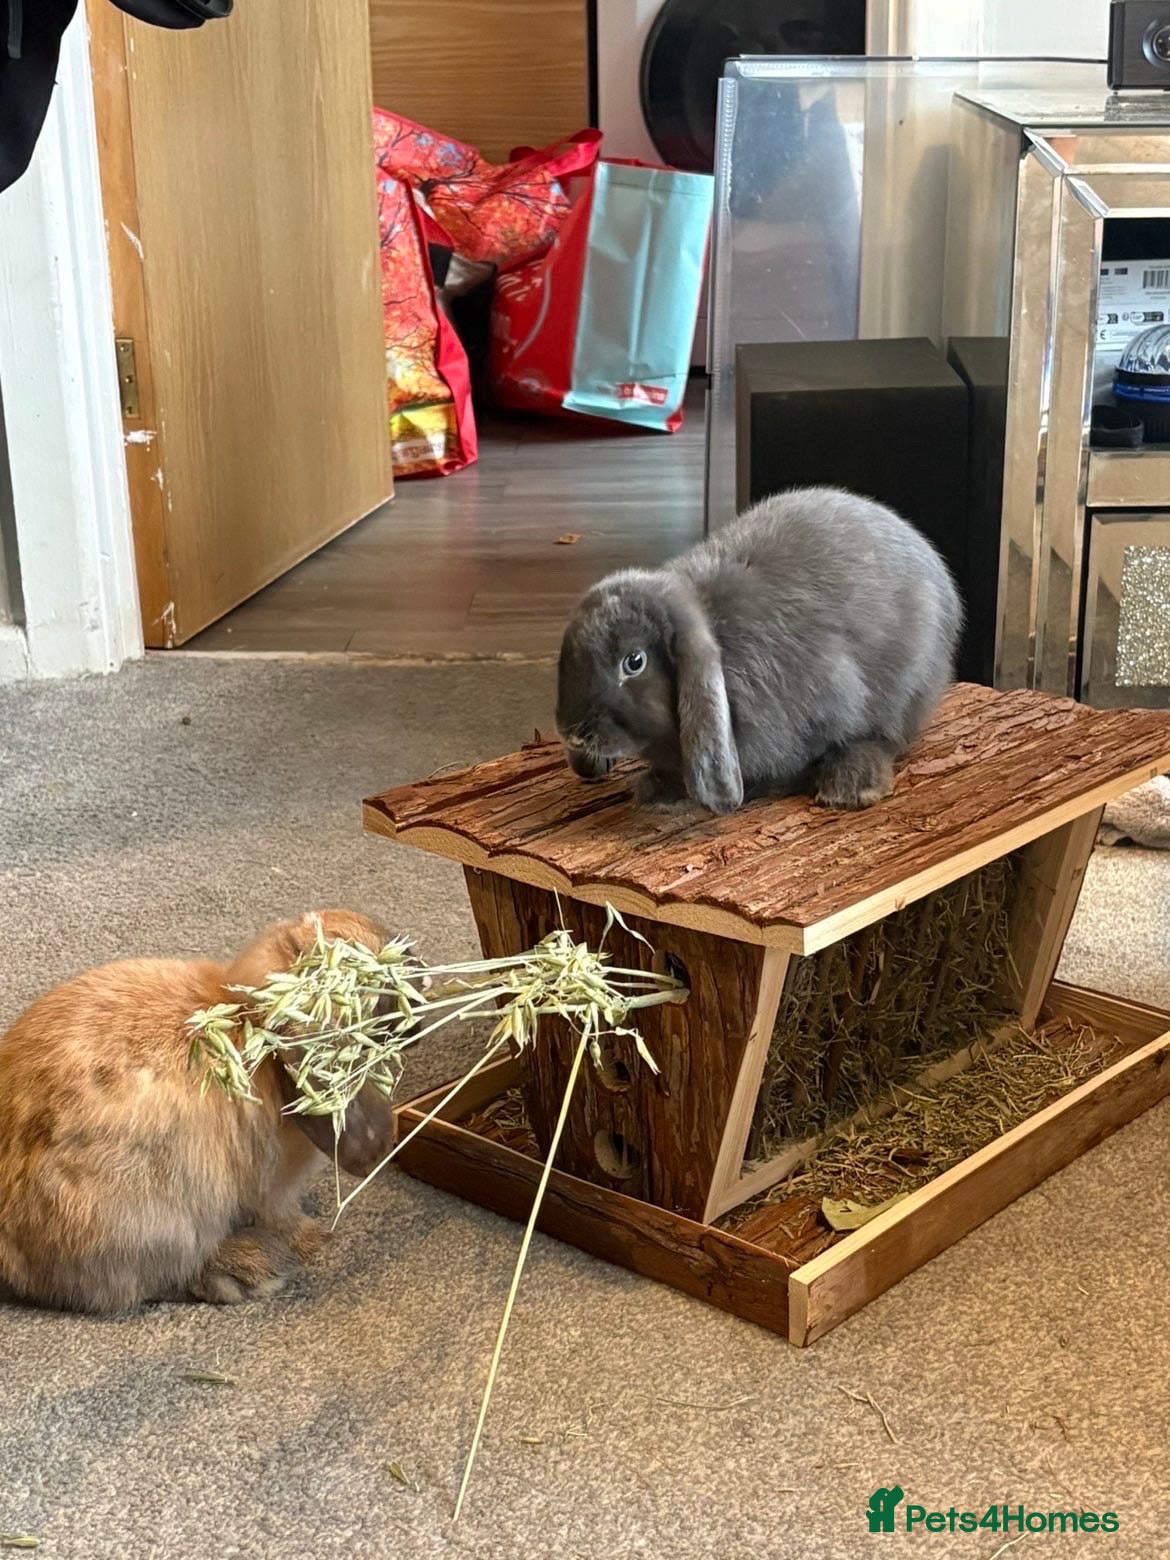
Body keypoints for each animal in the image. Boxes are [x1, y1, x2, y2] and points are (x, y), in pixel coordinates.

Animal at [556, 486, 962, 814]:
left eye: (634, 662)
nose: (573, 733)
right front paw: (655, 790)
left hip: (909, 688)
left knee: (884, 738)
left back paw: (850, 788)